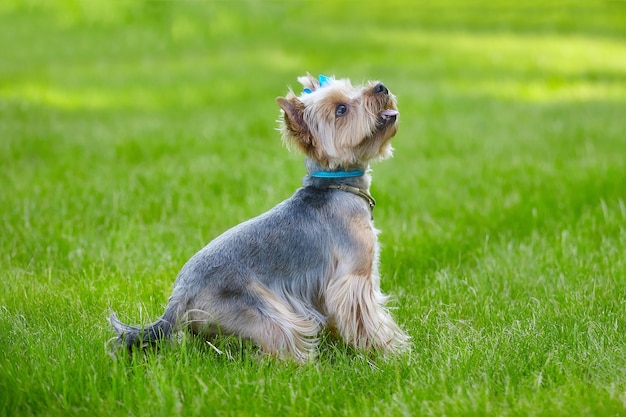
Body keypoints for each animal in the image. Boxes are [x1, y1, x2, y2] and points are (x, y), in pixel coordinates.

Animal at [109, 73, 408, 360]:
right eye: (341, 109)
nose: (381, 87)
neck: (336, 185)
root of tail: (178, 297)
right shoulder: (354, 278)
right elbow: (367, 320)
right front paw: (388, 353)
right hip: (258, 309)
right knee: (280, 342)